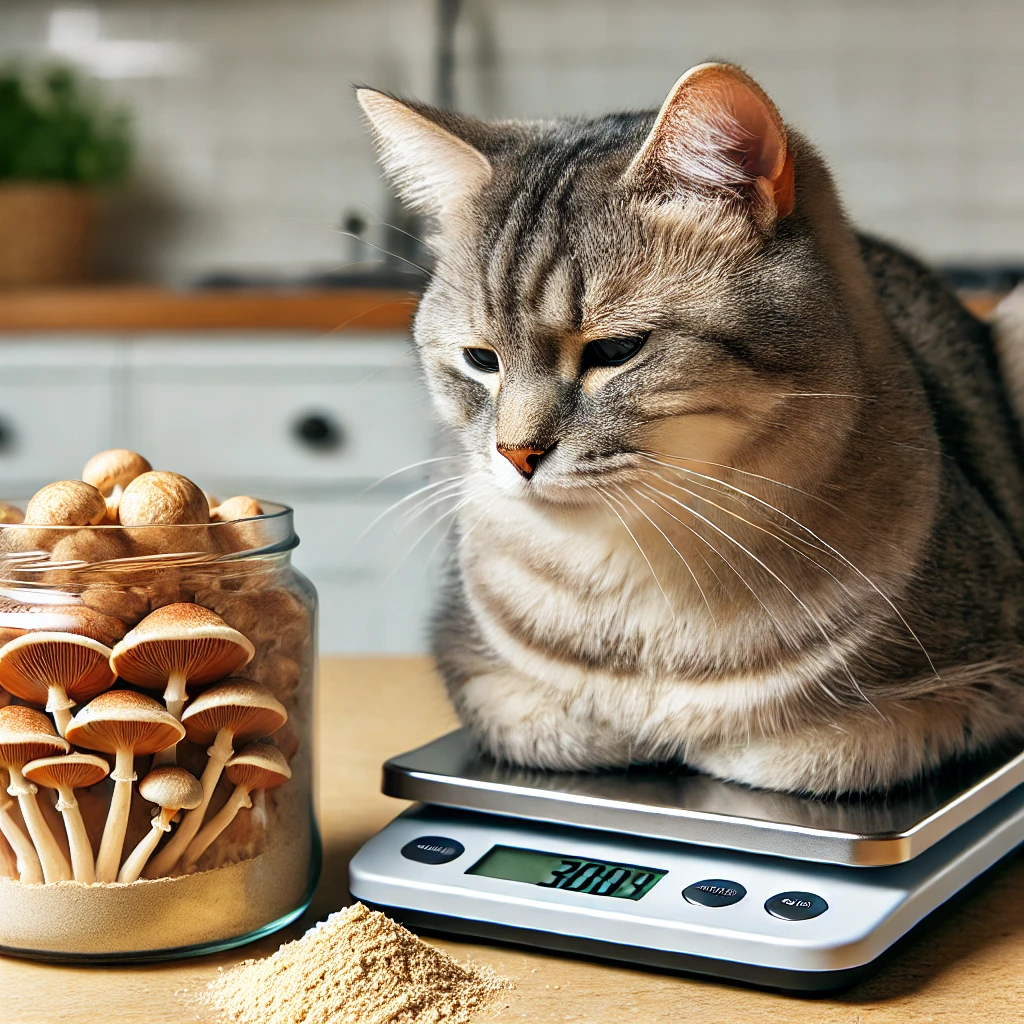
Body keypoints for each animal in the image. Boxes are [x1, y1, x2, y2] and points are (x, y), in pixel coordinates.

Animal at [358, 64, 1024, 794]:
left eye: (616, 351)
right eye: (481, 360)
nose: (516, 454)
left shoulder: (986, 677)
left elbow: (819, 748)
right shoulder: (473, 663)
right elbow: (549, 722)